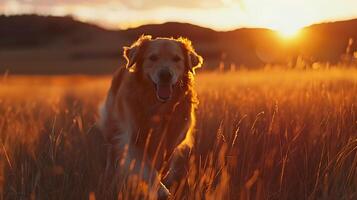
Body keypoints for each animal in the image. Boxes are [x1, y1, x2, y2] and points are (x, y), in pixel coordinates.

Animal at [98, 35, 202, 199]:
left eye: (176, 59)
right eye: (153, 57)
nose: (165, 75)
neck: (158, 107)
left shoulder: (172, 142)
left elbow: (163, 164)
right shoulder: (133, 141)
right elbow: (147, 169)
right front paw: (161, 190)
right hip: (111, 127)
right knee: (111, 151)